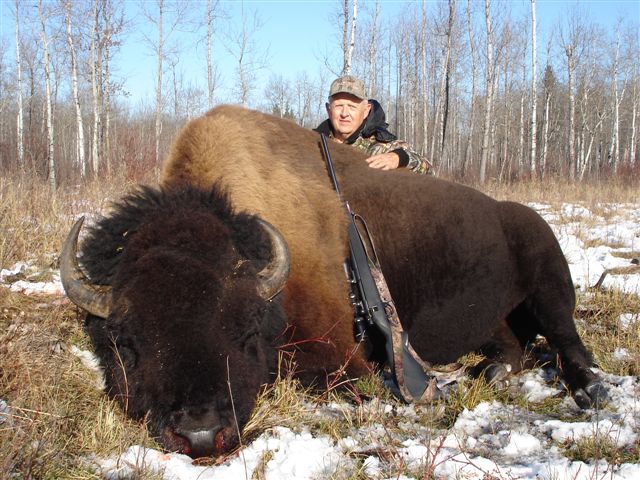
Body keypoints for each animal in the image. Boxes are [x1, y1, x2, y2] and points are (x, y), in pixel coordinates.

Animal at [61, 105, 605, 459]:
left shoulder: (338, 354)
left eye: (243, 331)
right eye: (127, 343)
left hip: (551, 283)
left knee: (568, 341)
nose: (198, 436)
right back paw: (488, 371)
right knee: (511, 348)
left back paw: (590, 392)